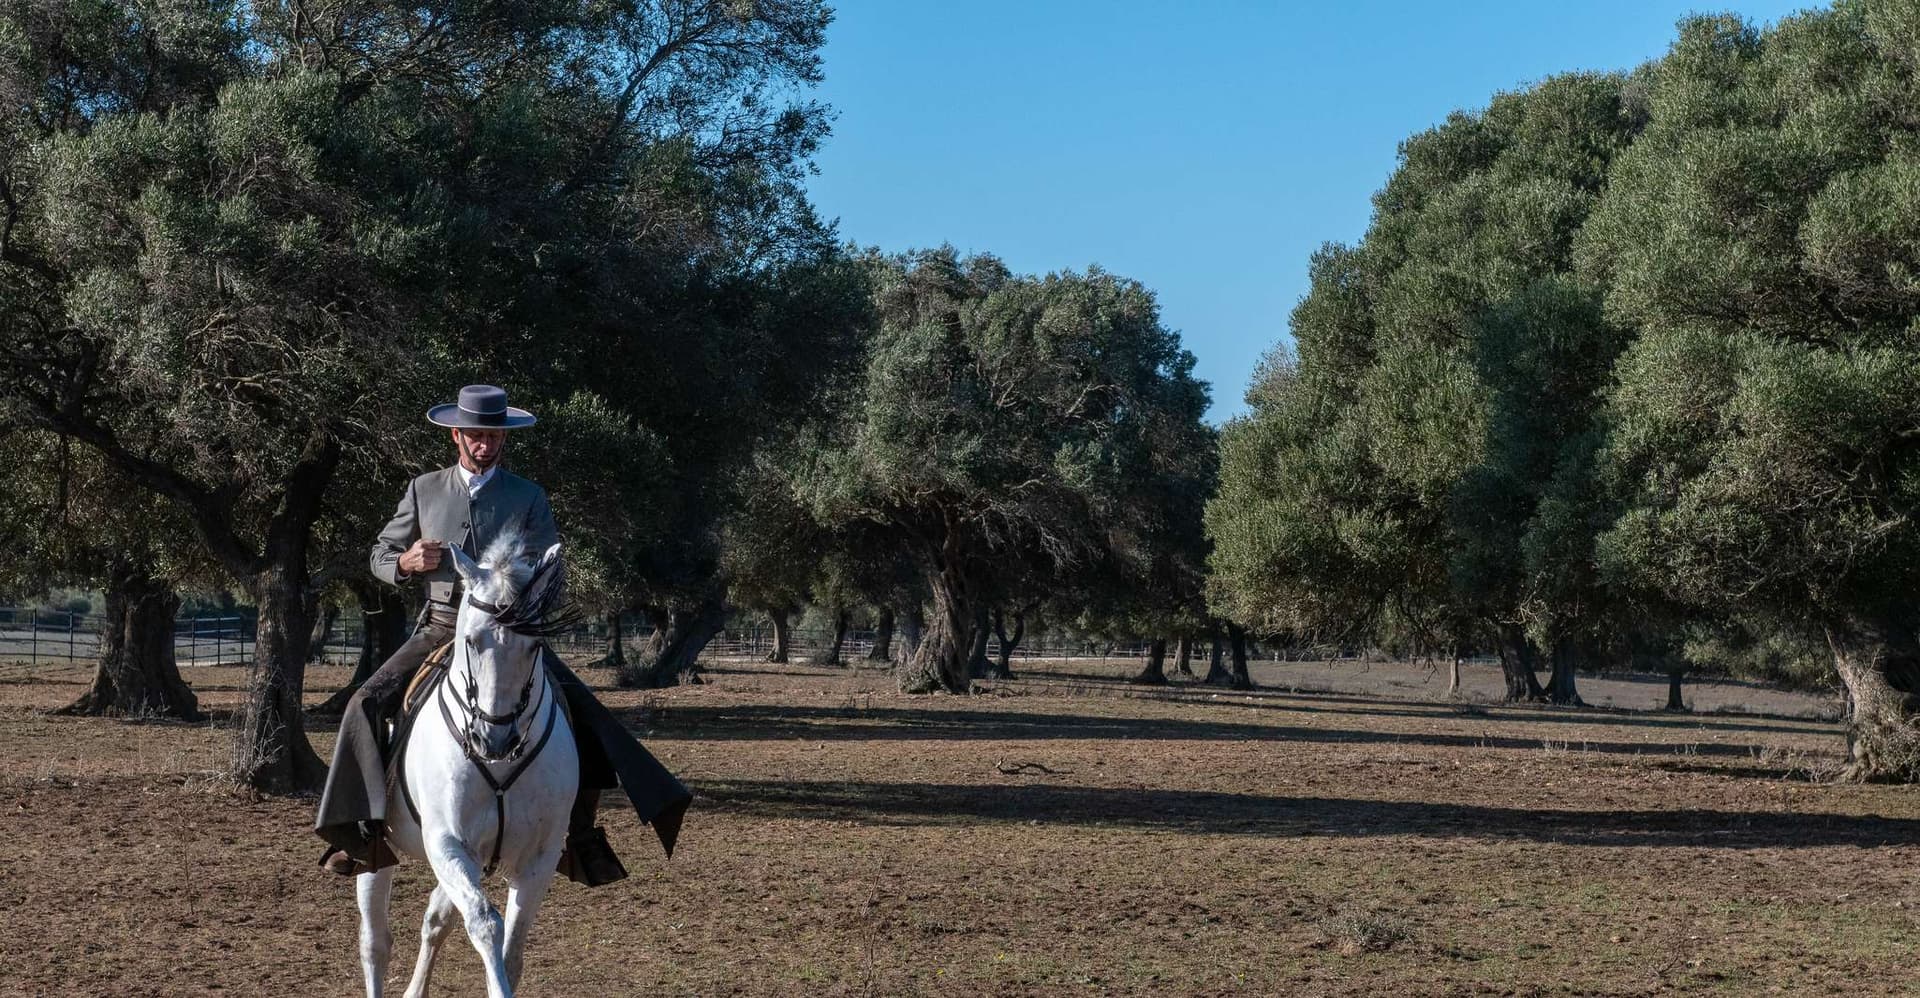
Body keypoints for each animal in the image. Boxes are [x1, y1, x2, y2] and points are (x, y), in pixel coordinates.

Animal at [355, 536, 581, 998]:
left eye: (535, 646)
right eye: (472, 641)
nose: (493, 739)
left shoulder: (538, 857)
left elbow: (511, 950)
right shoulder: (447, 842)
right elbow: (485, 924)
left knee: (434, 920)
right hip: (375, 853)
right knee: (375, 943)